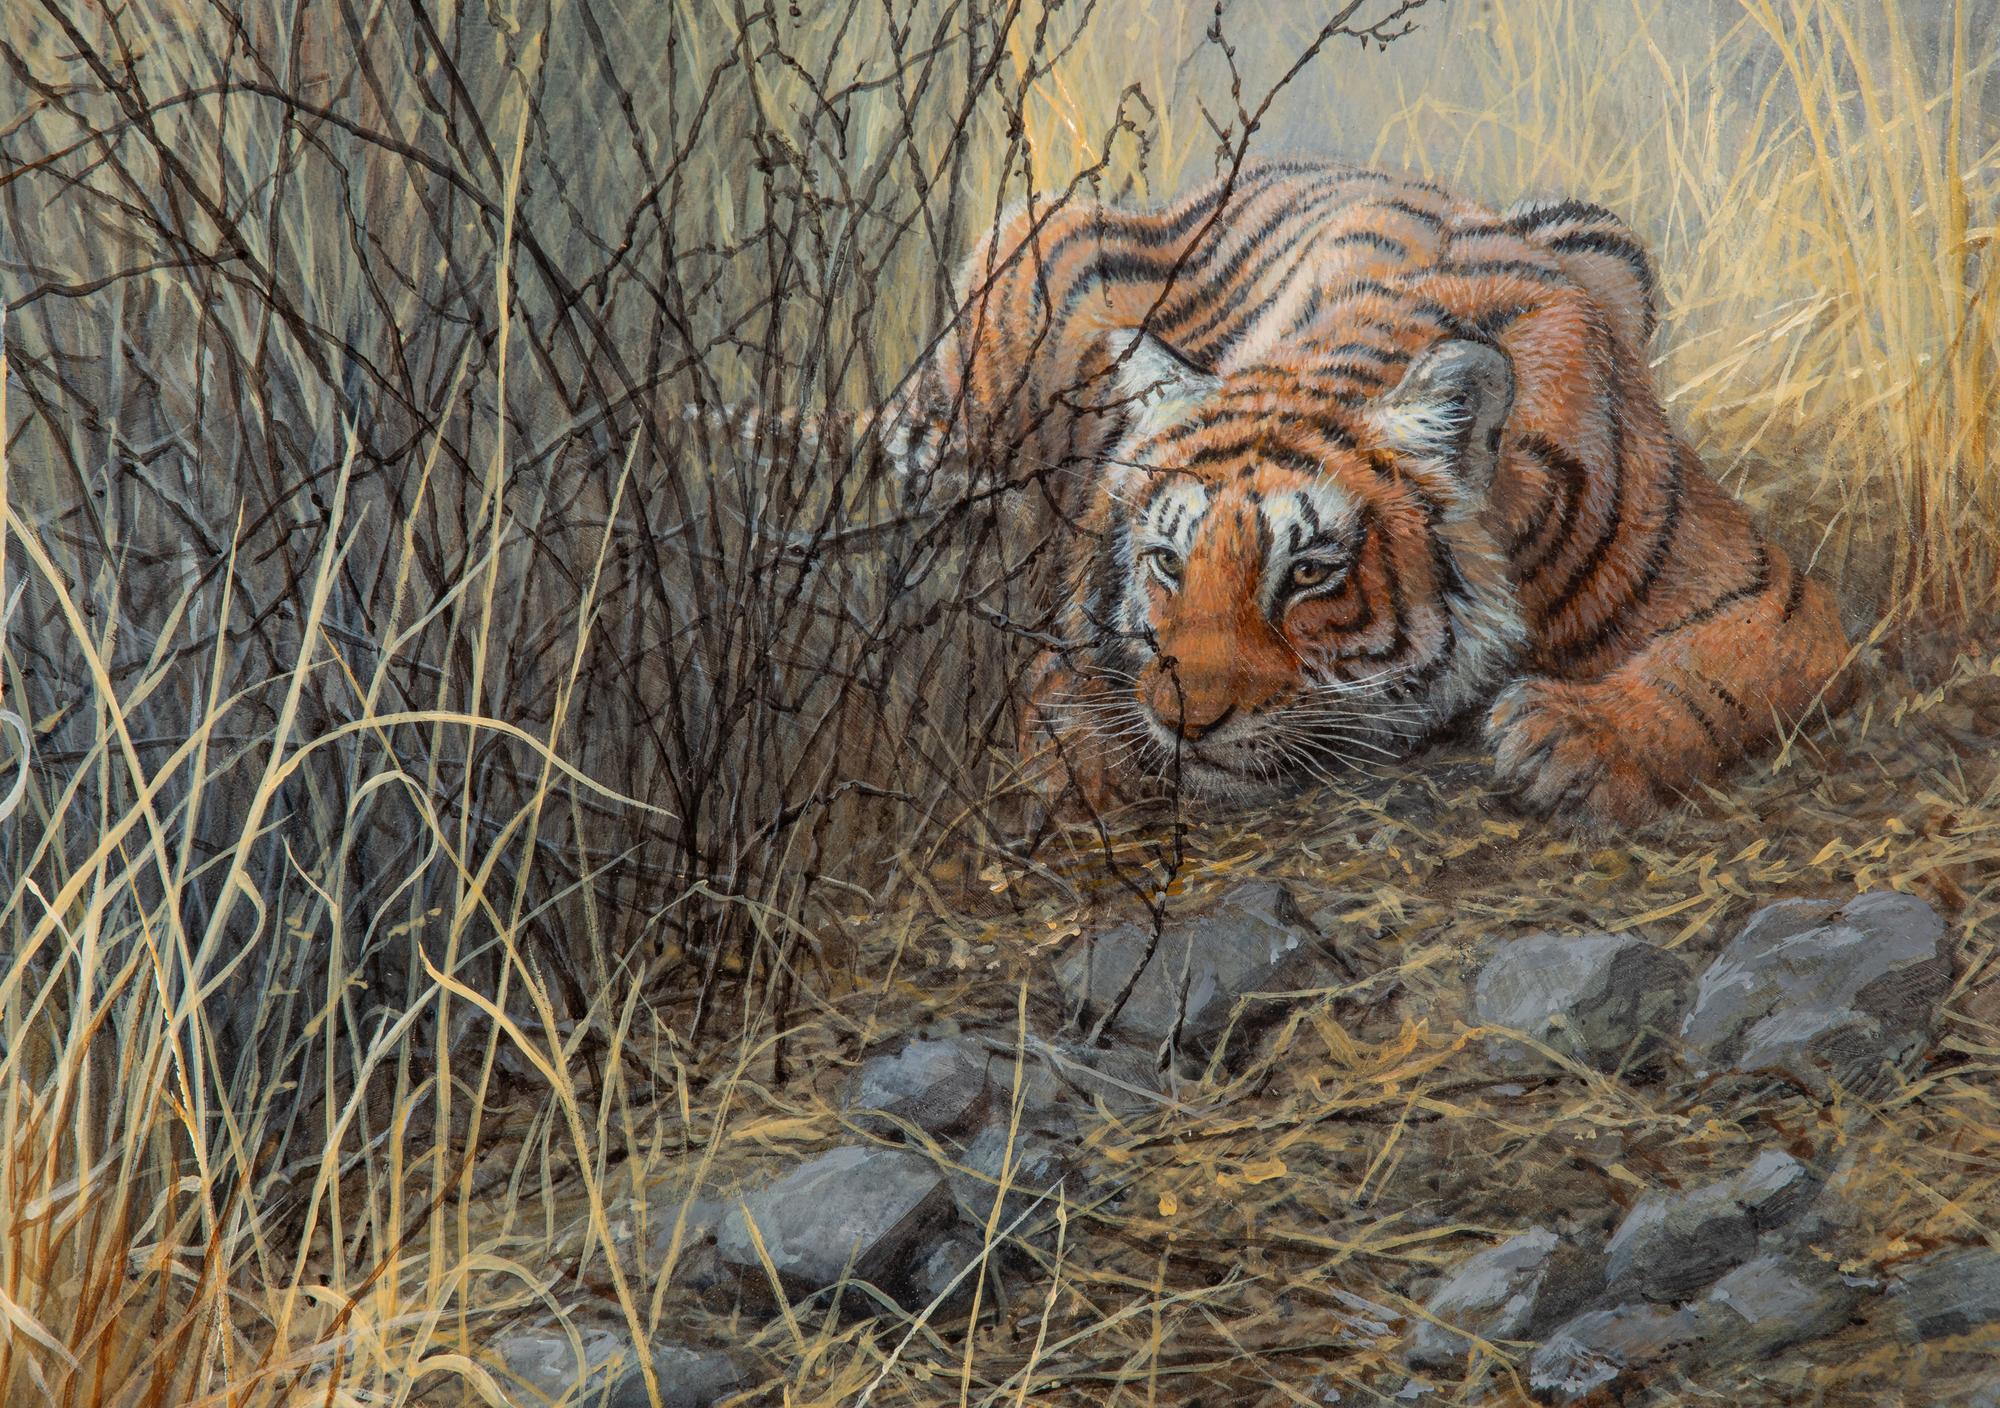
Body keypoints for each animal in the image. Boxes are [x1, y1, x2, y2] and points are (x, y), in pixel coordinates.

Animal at [788, 160, 1853, 827]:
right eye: (1167, 561)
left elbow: (1714, 666)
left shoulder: (1781, 596)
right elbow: (1067, 684)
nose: (1185, 722)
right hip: (1027, 260)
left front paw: (1575, 743)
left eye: (1306, 575)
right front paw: (1085, 768)